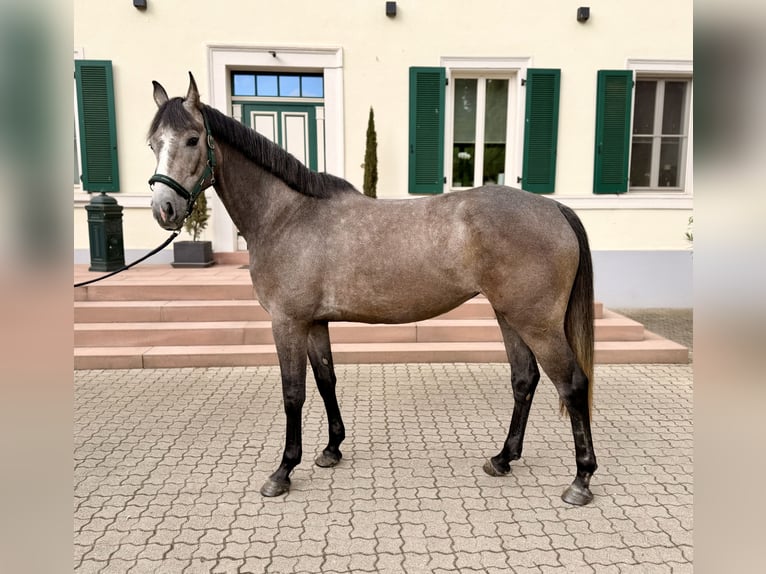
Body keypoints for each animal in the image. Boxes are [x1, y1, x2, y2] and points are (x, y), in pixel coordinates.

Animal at [147, 73, 598, 506]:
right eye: (153, 143)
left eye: (192, 139)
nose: (164, 209)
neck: (286, 215)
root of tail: (554, 207)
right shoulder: (314, 323)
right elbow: (326, 380)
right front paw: (331, 450)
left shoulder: (287, 322)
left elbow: (293, 393)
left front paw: (283, 471)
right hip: (509, 315)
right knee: (524, 379)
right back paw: (503, 458)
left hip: (536, 322)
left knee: (573, 384)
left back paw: (580, 480)